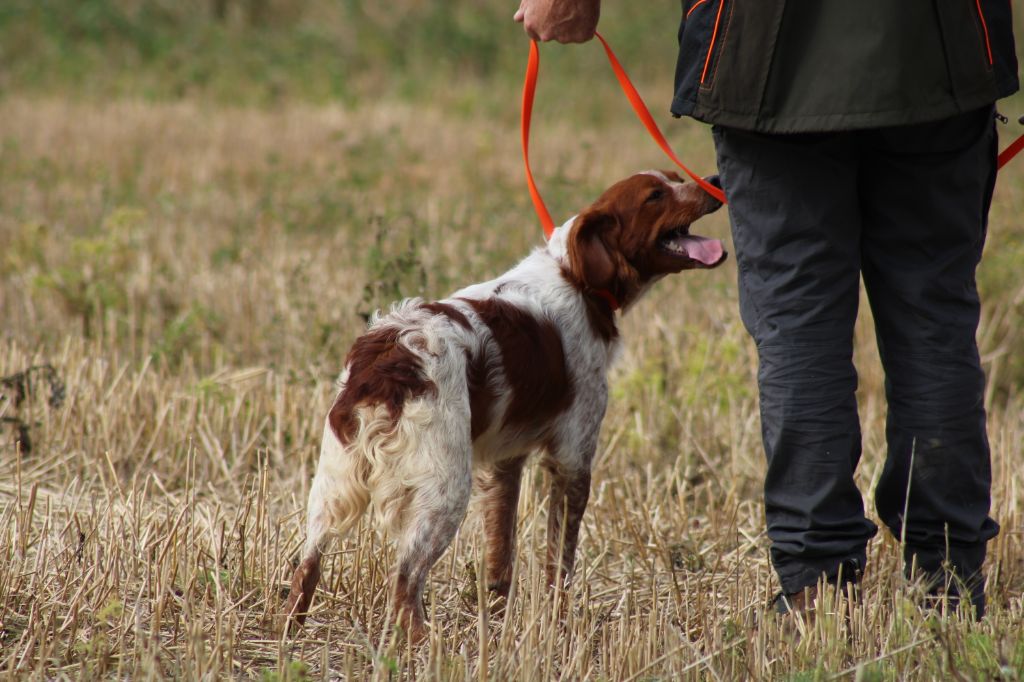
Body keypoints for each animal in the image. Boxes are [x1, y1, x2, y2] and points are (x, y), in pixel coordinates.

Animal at [284, 168, 724, 638]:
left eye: (676, 179)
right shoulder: (572, 458)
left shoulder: (504, 462)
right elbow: (559, 564)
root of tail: (387, 360)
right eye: (656, 195)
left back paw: (290, 630)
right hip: (443, 490)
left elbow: (501, 554)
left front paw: (499, 619)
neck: (577, 276)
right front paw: (557, 626)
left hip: (332, 484)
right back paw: (426, 643)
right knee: (404, 582)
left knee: (307, 565)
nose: (714, 179)